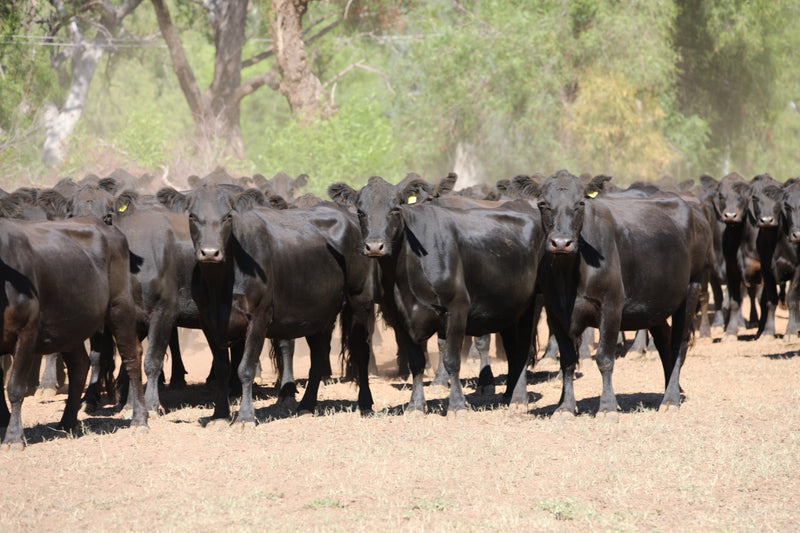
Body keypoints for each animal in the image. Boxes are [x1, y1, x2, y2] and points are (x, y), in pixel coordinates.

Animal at [0, 216, 148, 449]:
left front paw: (13, 438)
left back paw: (139, 418)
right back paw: (68, 421)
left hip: (120, 306)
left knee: (132, 357)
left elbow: (15, 387)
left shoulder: (26, 332)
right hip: (69, 328)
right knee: (80, 365)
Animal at [156, 184, 377, 426]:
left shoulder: (259, 317)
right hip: (319, 312)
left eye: (228, 216)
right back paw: (307, 405)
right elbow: (223, 368)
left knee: (361, 349)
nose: (210, 252)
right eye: (193, 216)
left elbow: (245, 368)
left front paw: (245, 417)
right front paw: (220, 415)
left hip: (359, 299)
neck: (221, 282)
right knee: (319, 354)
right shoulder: (208, 321)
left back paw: (365, 404)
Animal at [327, 175, 543, 415]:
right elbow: (416, 362)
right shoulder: (400, 317)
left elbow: (451, 360)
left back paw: (519, 397)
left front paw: (457, 404)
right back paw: (508, 395)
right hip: (507, 310)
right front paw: (415, 405)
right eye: (360, 212)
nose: (375, 246)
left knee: (522, 348)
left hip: (531, 305)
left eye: (395, 209)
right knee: (513, 350)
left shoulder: (457, 309)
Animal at [527, 170, 711, 417]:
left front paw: (607, 407)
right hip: (655, 304)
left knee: (679, 345)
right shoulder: (554, 312)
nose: (561, 242)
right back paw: (670, 390)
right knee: (665, 341)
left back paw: (670, 399)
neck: (569, 273)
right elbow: (567, 360)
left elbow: (604, 358)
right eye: (543, 203)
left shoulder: (611, 305)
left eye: (580, 203)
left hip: (692, 288)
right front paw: (565, 406)